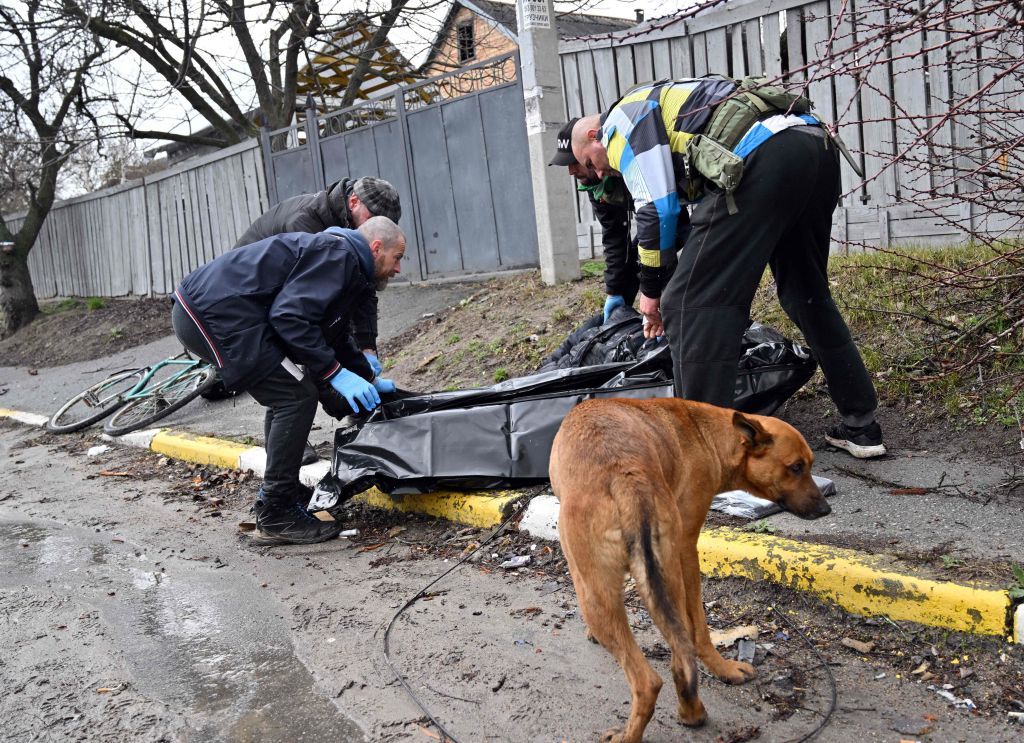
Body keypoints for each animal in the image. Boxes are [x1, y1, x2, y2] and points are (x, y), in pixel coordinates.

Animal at [548, 399, 827, 740]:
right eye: (797, 467)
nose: (825, 510)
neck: (708, 434)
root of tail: (626, 478)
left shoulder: (685, 547)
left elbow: (699, 629)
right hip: (662, 578)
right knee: (681, 660)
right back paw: (693, 711)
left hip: (596, 594)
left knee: (648, 680)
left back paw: (629, 733)